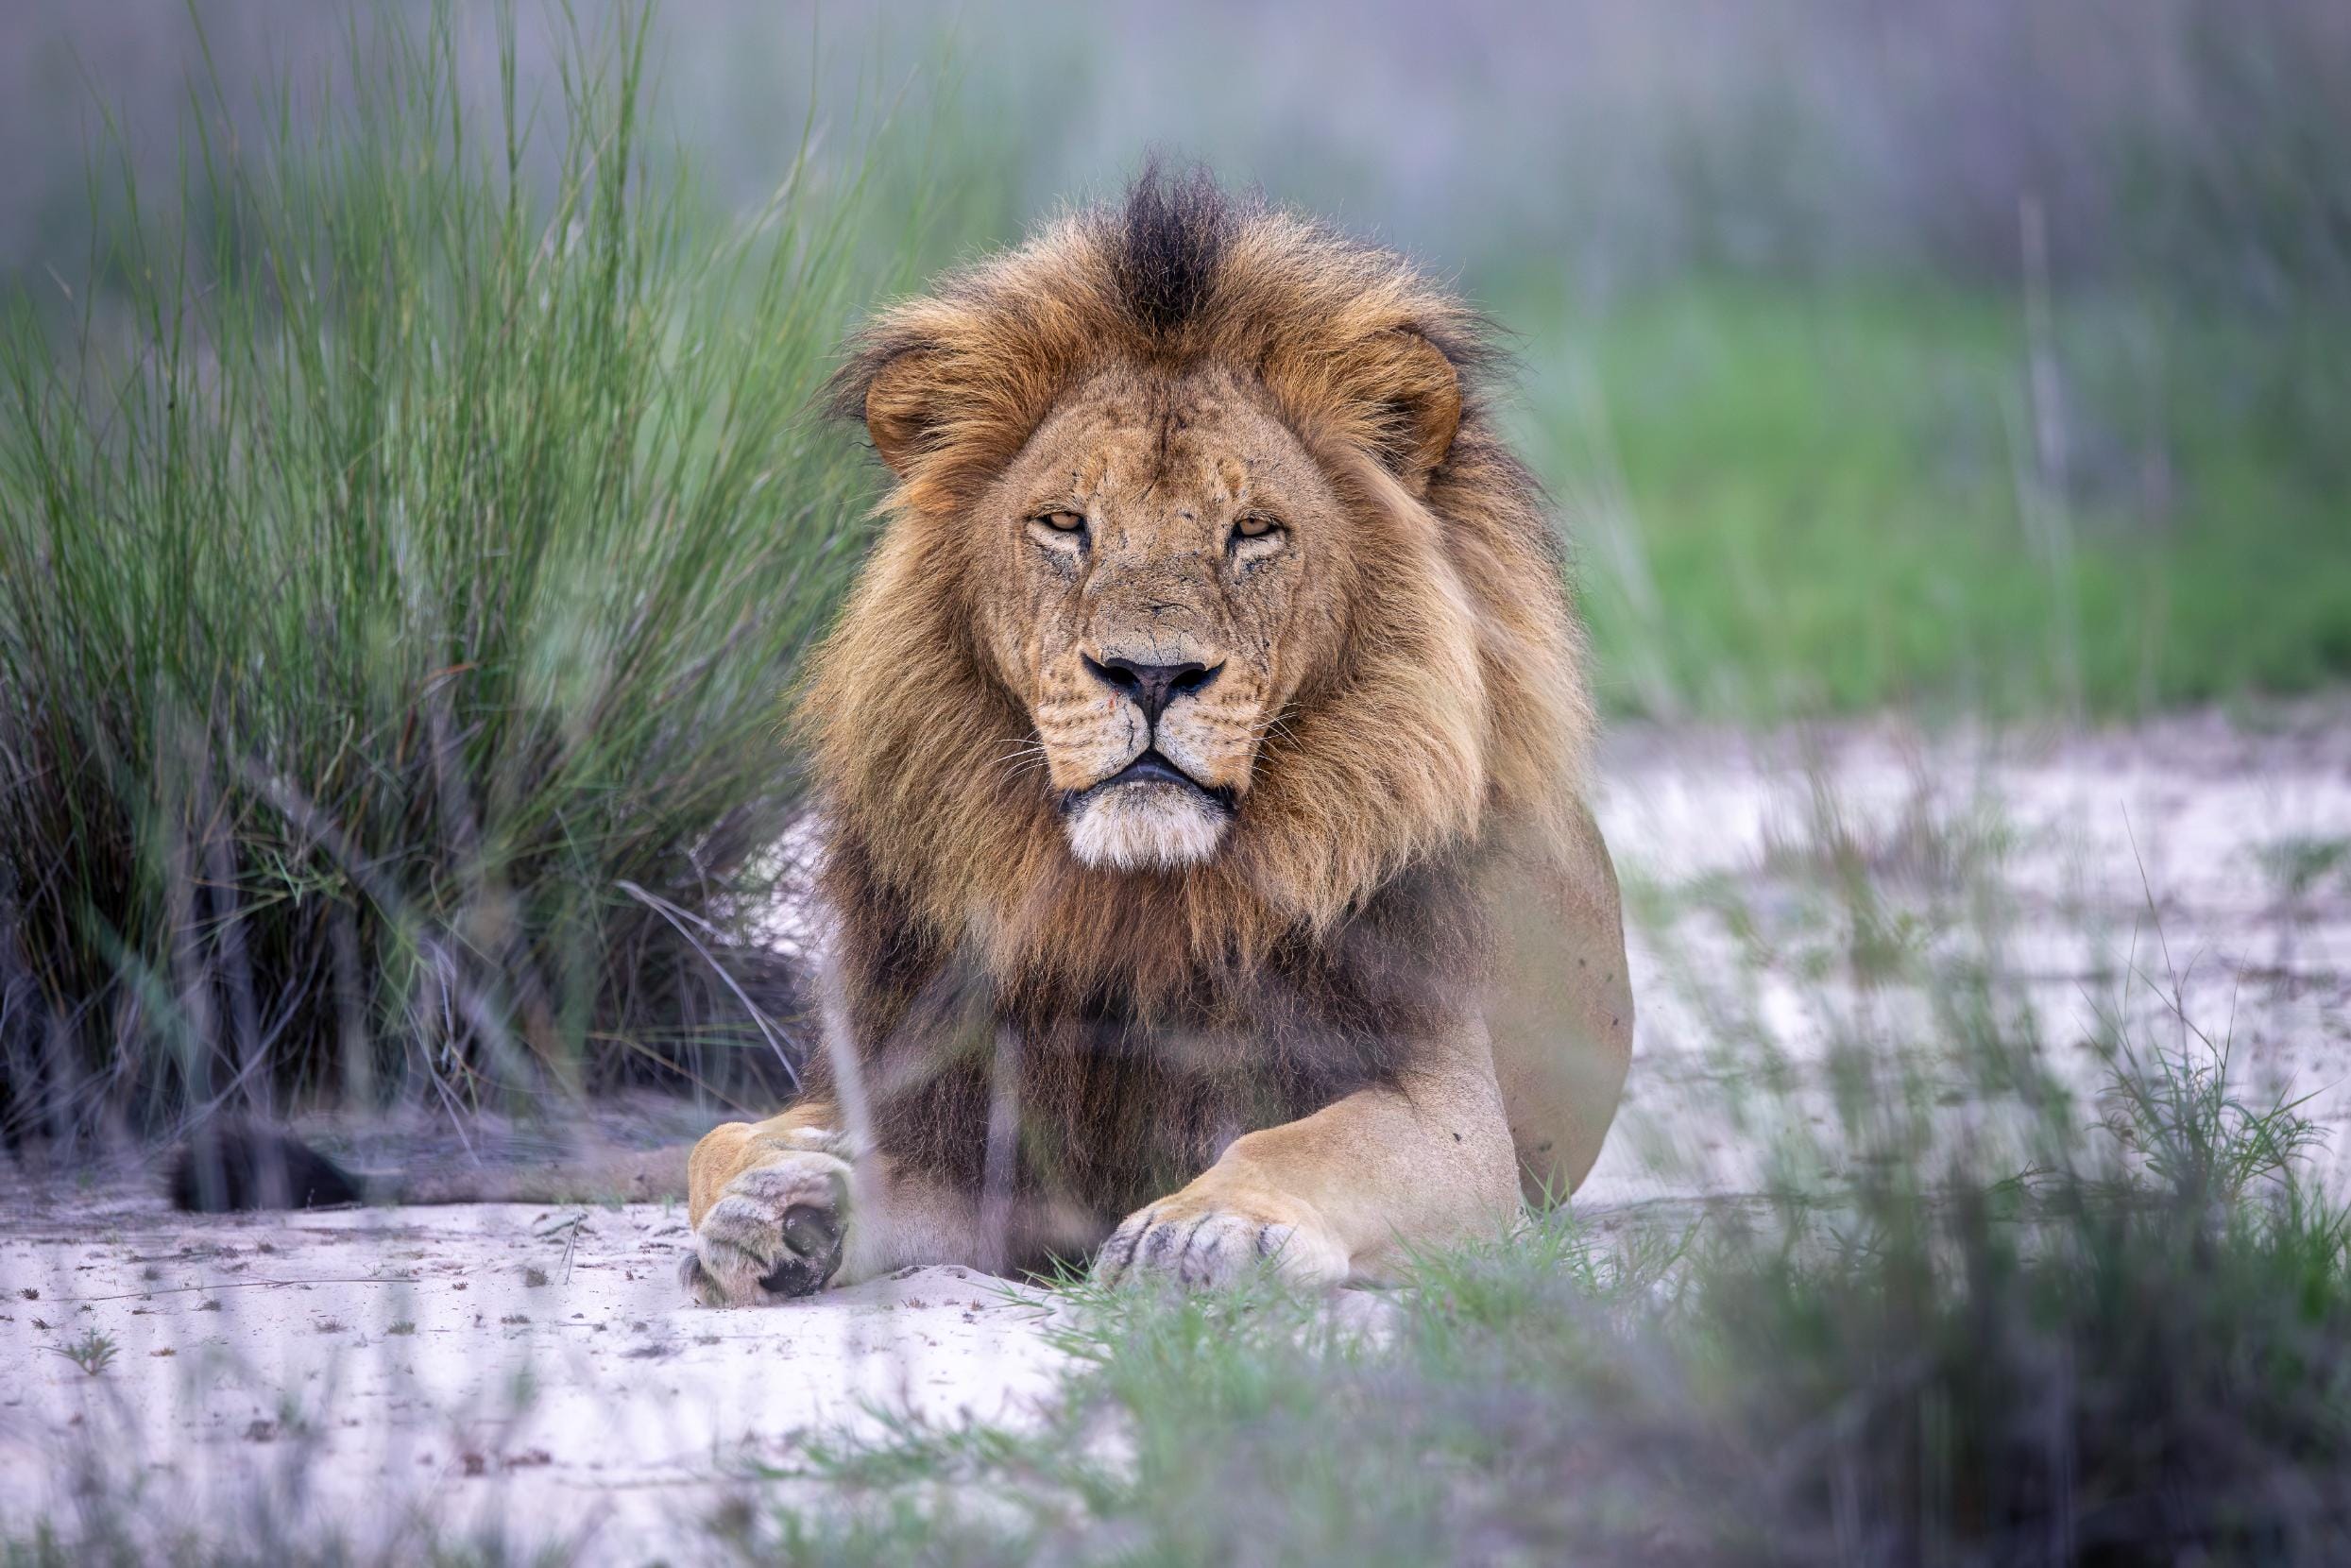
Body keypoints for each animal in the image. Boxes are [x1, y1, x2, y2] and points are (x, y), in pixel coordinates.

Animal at [679, 169, 1633, 1304]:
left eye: (1253, 531)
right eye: (1063, 524)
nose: (1150, 674)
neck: (1129, 915)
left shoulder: (1447, 1108)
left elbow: (1307, 1142)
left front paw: (1206, 1225)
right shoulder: (981, 1126)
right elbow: (725, 1141)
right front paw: (779, 1207)